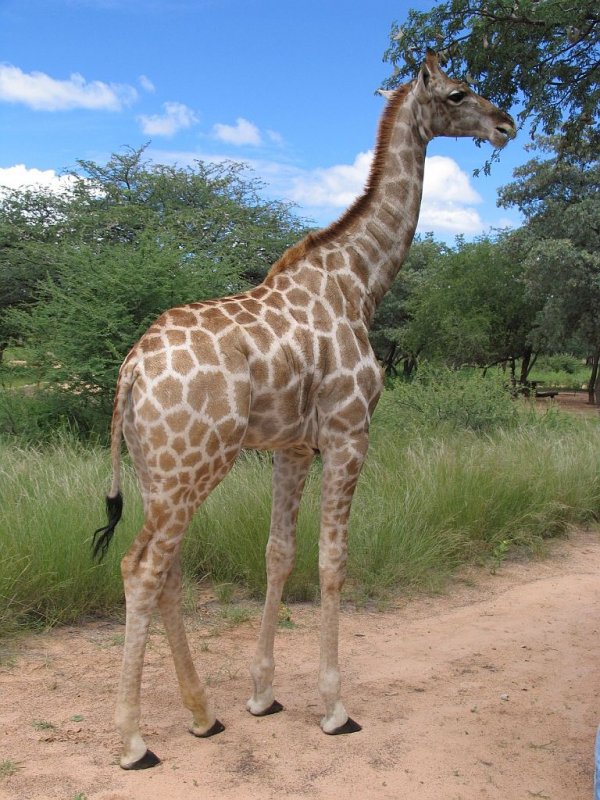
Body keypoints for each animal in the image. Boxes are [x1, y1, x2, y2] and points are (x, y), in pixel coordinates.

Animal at [95, 48, 516, 768]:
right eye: (459, 94)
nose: (507, 123)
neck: (361, 281)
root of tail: (129, 372)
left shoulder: (292, 446)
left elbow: (279, 553)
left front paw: (262, 696)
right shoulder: (350, 431)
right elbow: (332, 560)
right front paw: (335, 708)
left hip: (159, 472)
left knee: (165, 569)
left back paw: (203, 715)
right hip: (191, 466)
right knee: (141, 568)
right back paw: (133, 740)